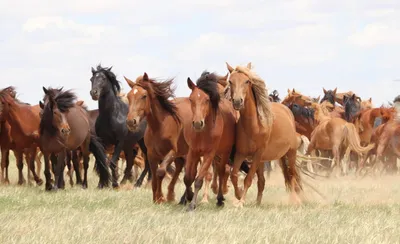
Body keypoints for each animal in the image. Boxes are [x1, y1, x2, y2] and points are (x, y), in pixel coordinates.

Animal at [125, 73, 188, 203]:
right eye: (129, 96)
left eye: (144, 96)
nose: (131, 122)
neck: (160, 126)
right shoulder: (151, 154)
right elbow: (154, 175)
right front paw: (157, 198)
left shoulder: (172, 152)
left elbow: (160, 172)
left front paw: (161, 197)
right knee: (179, 168)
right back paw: (171, 195)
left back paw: (183, 199)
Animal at [184, 71, 238, 211]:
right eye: (191, 99)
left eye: (207, 100)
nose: (198, 123)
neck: (203, 132)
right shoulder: (193, 152)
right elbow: (188, 177)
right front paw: (189, 196)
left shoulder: (209, 154)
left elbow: (198, 180)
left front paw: (192, 205)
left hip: (224, 153)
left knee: (221, 172)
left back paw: (219, 199)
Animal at [227, 62, 302, 207]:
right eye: (230, 81)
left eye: (247, 81)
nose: (237, 101)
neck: (254, 126)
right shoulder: (241, 153)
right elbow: (233, 176)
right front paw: (238, 195)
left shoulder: (258, 154)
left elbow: (248, 178)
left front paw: (241, 201)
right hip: (264, 160)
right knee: (262, 181)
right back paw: (257, 203)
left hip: (290, 153)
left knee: (292, 175)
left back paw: (295, 200)